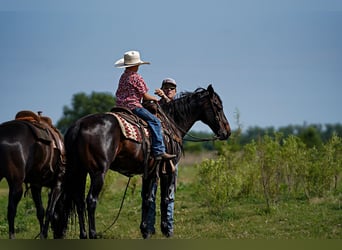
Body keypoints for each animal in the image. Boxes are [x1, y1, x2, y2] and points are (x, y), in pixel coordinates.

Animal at [50, 85, 231, 238]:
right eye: (218, 106)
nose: (227, 131)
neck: (171, 123)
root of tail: (78, 126)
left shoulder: (149, 172)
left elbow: (146, 198)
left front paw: (145, 230)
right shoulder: (166, 170)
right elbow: (163, 198)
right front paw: (165, 230)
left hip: (79, 172)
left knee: (79, 201)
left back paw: (83, 235)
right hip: (97, 173)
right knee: (91, 201)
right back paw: (93, 234)